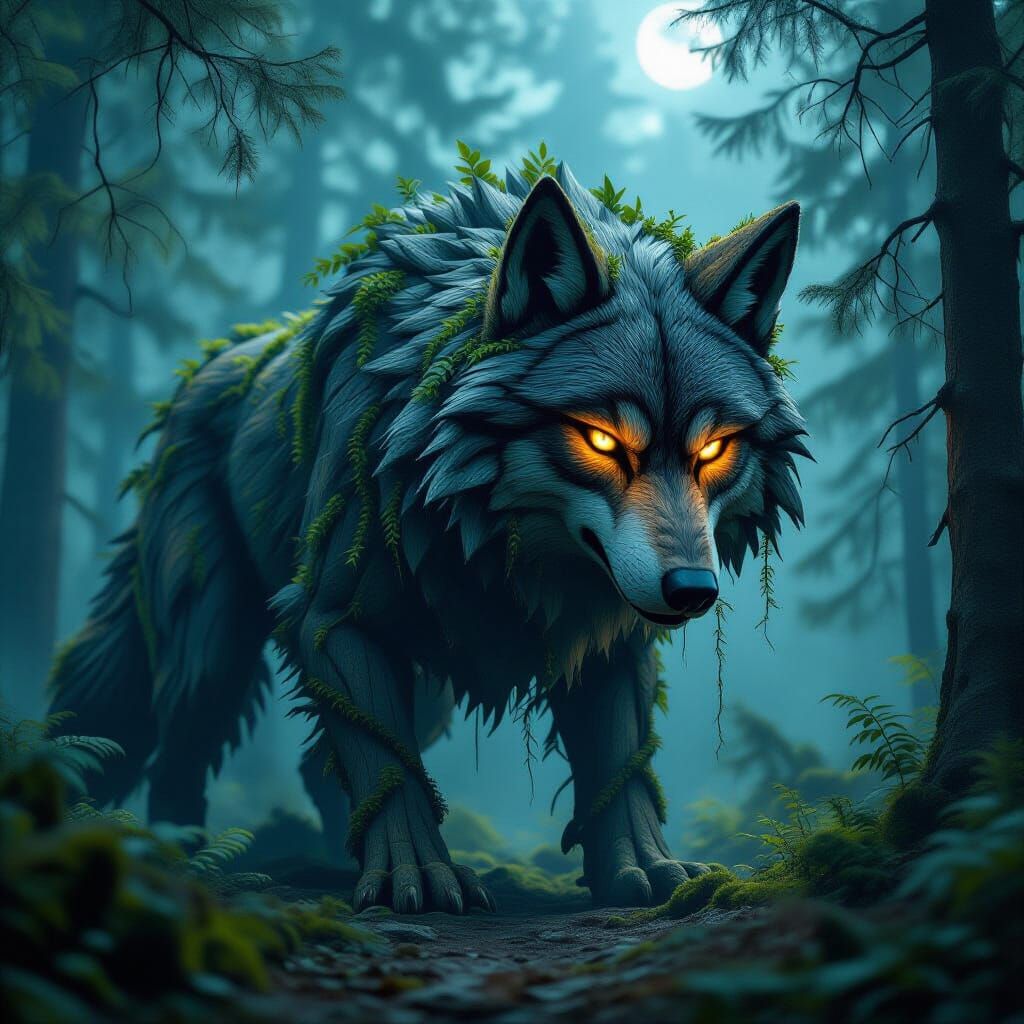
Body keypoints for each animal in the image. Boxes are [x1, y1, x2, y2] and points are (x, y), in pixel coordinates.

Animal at [50, 163, 807, 912]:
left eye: (714, 449)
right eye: (601, 441)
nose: (693, 591)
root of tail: (212, 362)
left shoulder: (602, 638)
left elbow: (619, 760)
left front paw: (645, 869)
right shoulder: (331, 619)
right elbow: (387, 760)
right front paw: (410, 877)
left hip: (434, 681)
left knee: (313, 764)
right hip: (210, 646)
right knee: (181, 753)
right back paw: (182, 864)